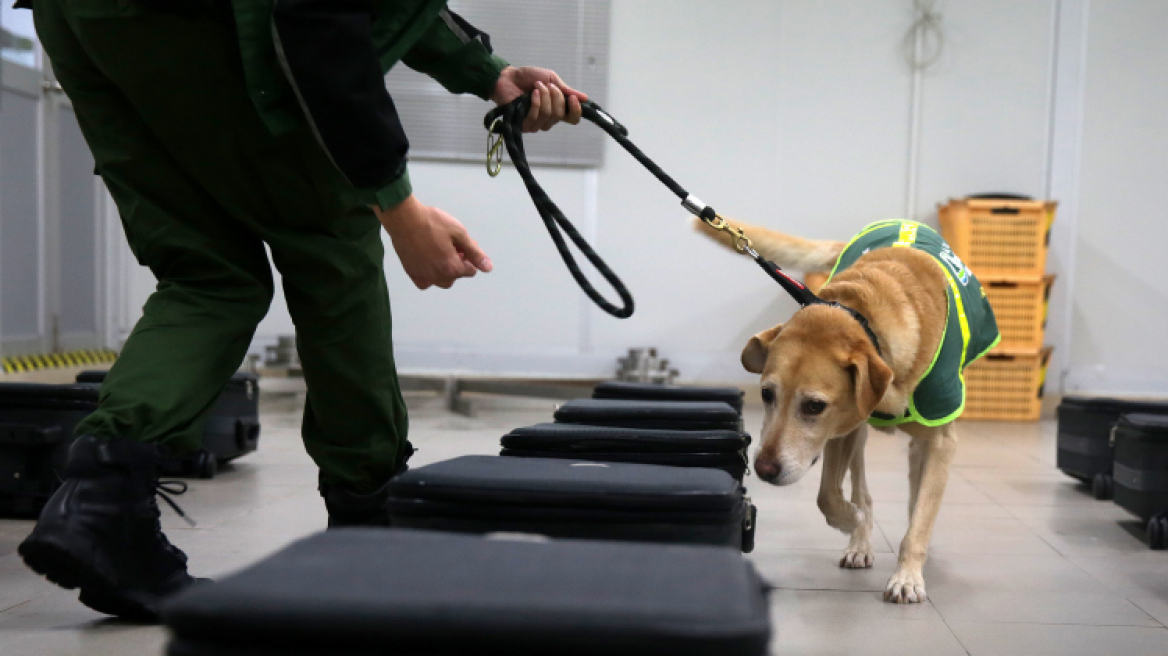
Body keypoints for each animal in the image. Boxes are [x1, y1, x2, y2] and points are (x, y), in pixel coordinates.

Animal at [696, 218, 999, 602]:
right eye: (766, 394)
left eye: (814, 405)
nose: (763, 469)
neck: (866, 319)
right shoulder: (842, 427)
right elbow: (828, 496)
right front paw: (852, 521)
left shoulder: (942, 439)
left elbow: (921, 516)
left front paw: (908, 576)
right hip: (857, 432)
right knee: (862, 491)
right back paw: (860, 539)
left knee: (915, 488)